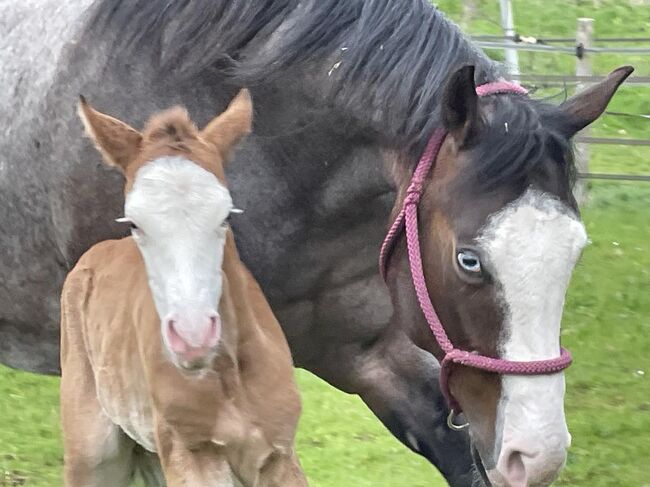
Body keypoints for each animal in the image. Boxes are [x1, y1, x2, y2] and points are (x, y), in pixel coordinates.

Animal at [58, 89, 306, 486]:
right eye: (134, 223)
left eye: (226, 216)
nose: (193, 336)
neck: (229, 379)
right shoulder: (191, 454)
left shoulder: (279, 454)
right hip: (93, 451)